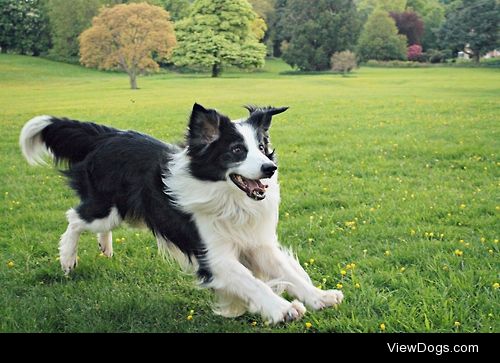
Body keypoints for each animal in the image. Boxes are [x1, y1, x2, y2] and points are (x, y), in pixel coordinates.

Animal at [17, 104, 342, 324]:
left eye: (262, 147)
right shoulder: (214, 256)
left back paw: (104, 248)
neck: (229, 199)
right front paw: (282, 308)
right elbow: (251, 281)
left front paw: (320, 297)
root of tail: (108, 136)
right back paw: (68, 260)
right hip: (107, 207)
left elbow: (289, 272)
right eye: (237, 150)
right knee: (75, 218)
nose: (269, 168)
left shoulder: (257, 243)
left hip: (124, 212)